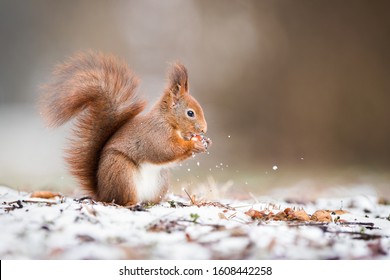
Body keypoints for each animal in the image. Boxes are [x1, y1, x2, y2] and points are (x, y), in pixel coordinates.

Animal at [40, 52, 210, 206]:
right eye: (190, 113)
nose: (204, 130)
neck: (168, 121)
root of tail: (102, 193)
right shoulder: (156, 134)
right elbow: (165, 150)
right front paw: (194, 144)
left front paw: (206, 142)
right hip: (121, 172)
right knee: (121, 199)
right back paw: (131, 203)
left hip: (160, 181)